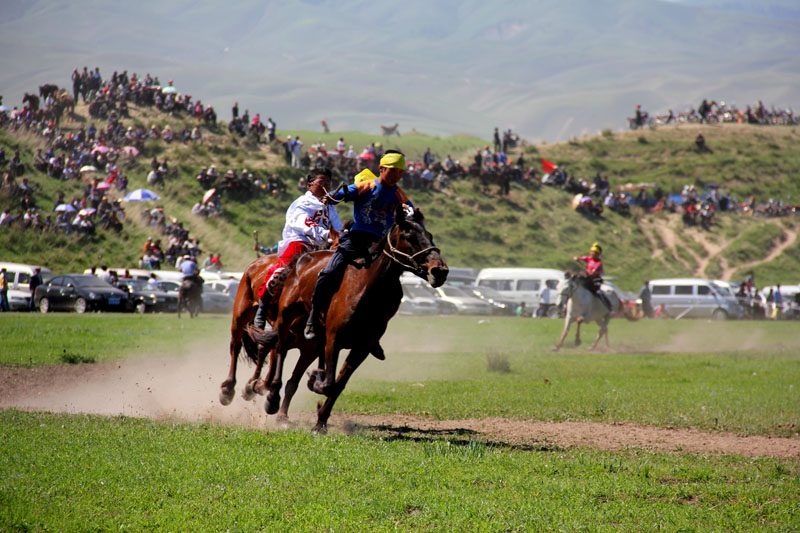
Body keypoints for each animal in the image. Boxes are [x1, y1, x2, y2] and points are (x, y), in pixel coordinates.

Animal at [252, 205, 450, 432]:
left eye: (429, 235)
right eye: (409, 236)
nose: (440, 270)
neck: (367, 290)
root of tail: (302, 259)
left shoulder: (361, 348)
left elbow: (338, 385)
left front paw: (320, 421)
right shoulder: (334, 340)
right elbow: (329, 383)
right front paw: (314, 384)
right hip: (286, 315)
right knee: (281, 349)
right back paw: (272, 398)